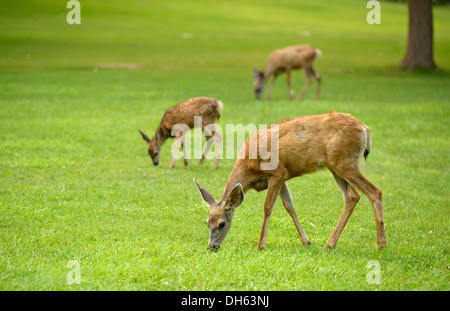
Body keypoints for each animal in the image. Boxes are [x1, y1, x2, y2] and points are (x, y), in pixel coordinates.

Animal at [193, 112, 386, 254]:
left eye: (222, 223)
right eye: (207, 222)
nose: (211, 247)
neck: (249, 167)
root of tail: (364, 129)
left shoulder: (277, 172)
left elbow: (268, 208)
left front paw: (260, 245)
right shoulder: (282, 177)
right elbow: (290, 207)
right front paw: (306, 241)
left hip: (345, 163)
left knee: (375, 191)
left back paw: (381, 245)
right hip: (335, 167)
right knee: (352, 197)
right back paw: (329, 244)